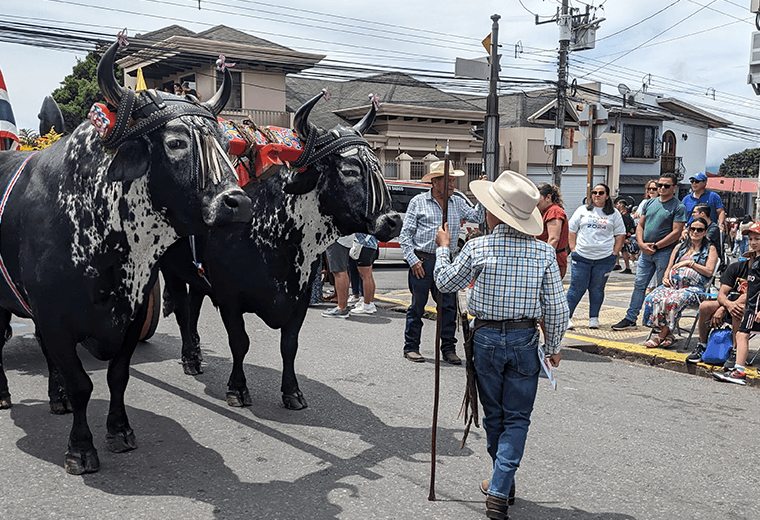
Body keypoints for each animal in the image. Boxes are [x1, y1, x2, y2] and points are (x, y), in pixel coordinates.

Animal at [0, 41, 253, 475]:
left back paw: (56, 398)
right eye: (176, 142)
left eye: (223, 140)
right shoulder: (55, 315)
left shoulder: (132, 313)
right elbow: (82, 383)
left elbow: (117, 376)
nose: (237, 202)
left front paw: (119, 431)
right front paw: (81, 448)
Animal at [160, 90, 402, 410]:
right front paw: (237, 389)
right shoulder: (228, 297)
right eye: (350, 170)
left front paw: (292, 392)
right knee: (181, 310)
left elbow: (289, 345)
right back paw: (189, 357)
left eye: (377, 166)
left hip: (197, 276)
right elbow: (240, 342)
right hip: (170, 269)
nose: (393, 220)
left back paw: (197, 352)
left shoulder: (299, 299)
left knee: (193, 308)